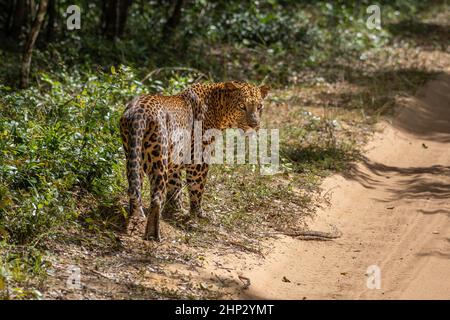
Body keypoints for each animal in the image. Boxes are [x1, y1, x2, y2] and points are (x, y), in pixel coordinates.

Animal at [118, 80, 268, 240]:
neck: (217, 107)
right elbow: (196, 189)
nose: (254, 124)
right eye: (241, 106)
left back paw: (135, 217)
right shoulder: (198, 160)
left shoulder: (176, 159)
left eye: (259, 107)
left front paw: (176, 210)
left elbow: (175, 187)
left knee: (134, 189)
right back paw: (153, 234)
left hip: (134, 157)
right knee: (157, 198)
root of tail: (139, 112)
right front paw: (198, 214)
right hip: (159, 160)